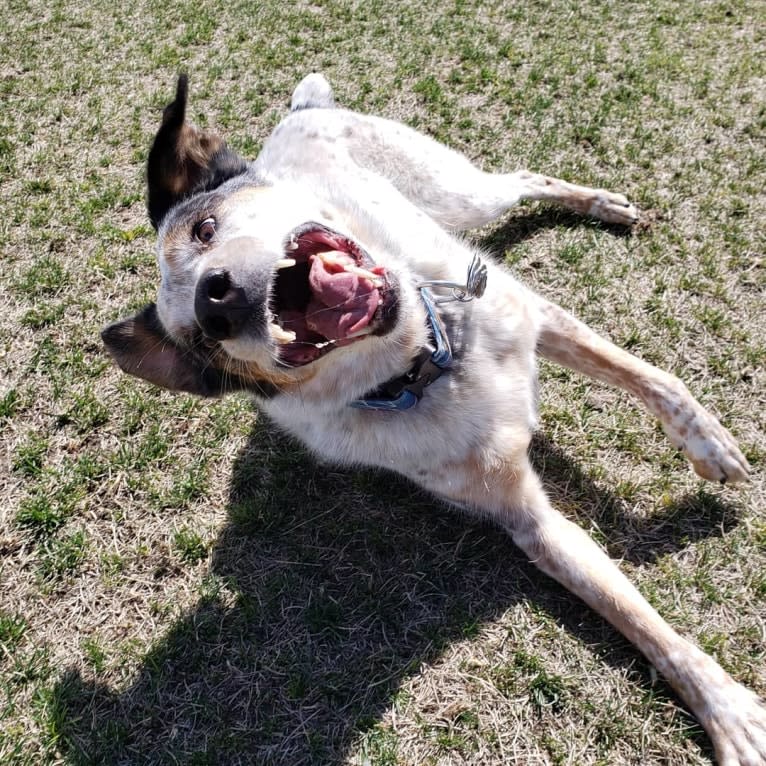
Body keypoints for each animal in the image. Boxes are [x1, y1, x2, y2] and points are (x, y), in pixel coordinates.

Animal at [103, 73, 766, 766]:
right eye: (204, 341)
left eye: (205, 229)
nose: (216, 301)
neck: (427, 358)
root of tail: (296, 116)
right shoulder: (525, 519)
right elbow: (635, 615)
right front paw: (727, 712)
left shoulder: (535, 315)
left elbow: (651, 376)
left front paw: (710, 445)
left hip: (458, 194)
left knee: (524, 177)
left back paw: (603, 203)